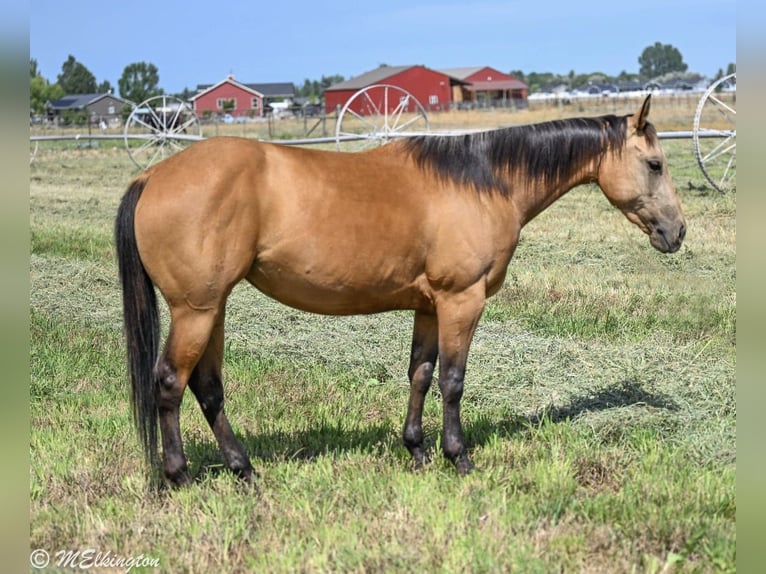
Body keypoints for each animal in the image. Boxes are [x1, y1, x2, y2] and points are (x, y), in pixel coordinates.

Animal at [115, 94, 686, 487]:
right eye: (655, 164)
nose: (677, 232)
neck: (481, 181)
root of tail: (152, 176)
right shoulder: (461, 301)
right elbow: (452, 381)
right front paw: (459, 457)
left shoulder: (429, 307)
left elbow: (420, 375)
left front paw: (416, 450)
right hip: (196, 309)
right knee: (170, 383)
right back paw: (180, 476)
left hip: (213, 308)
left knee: (207, 388)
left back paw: (244, 469)